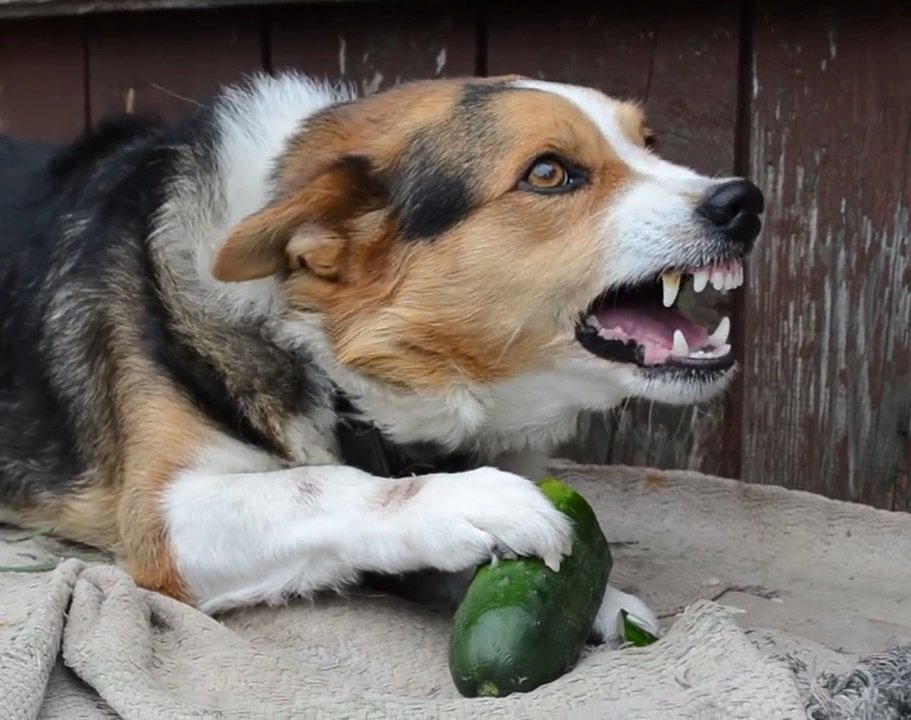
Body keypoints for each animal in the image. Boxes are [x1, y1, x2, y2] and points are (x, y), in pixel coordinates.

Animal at [0, 74, 764, 648]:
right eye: (549, 172)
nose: (744, 201)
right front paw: (475, 500)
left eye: (648, 143)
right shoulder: (166, 521)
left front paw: (602, 599)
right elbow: (326, 485)